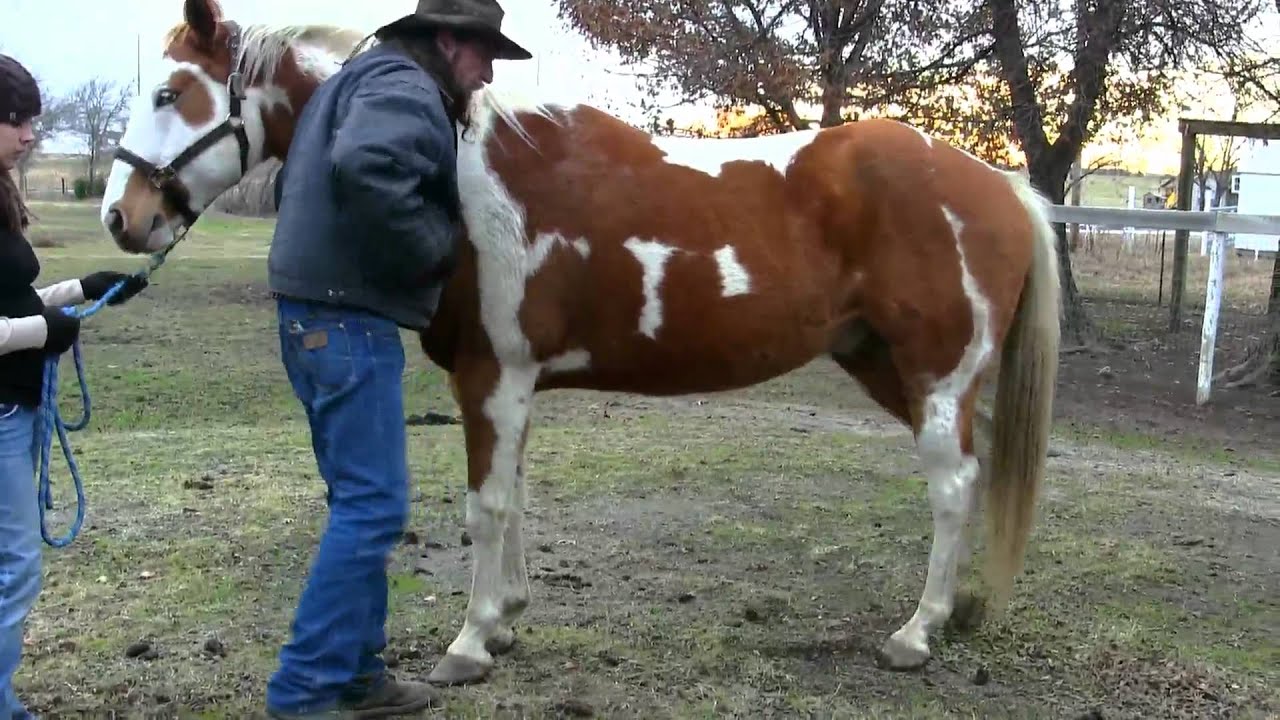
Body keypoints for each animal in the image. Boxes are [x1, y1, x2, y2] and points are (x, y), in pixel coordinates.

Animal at [101, 0, 1061, 688]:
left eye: (169, 93)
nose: (122, 217)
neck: (469, 172)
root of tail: (1003, 185)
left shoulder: (492, 376)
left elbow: (486, 506)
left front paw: (468, 642)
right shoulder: (511, 384)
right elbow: (515, 497)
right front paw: (505, 618)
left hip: (935, 378)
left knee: (952, 490)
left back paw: (916, 633)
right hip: (886, 368)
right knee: (969, 480)